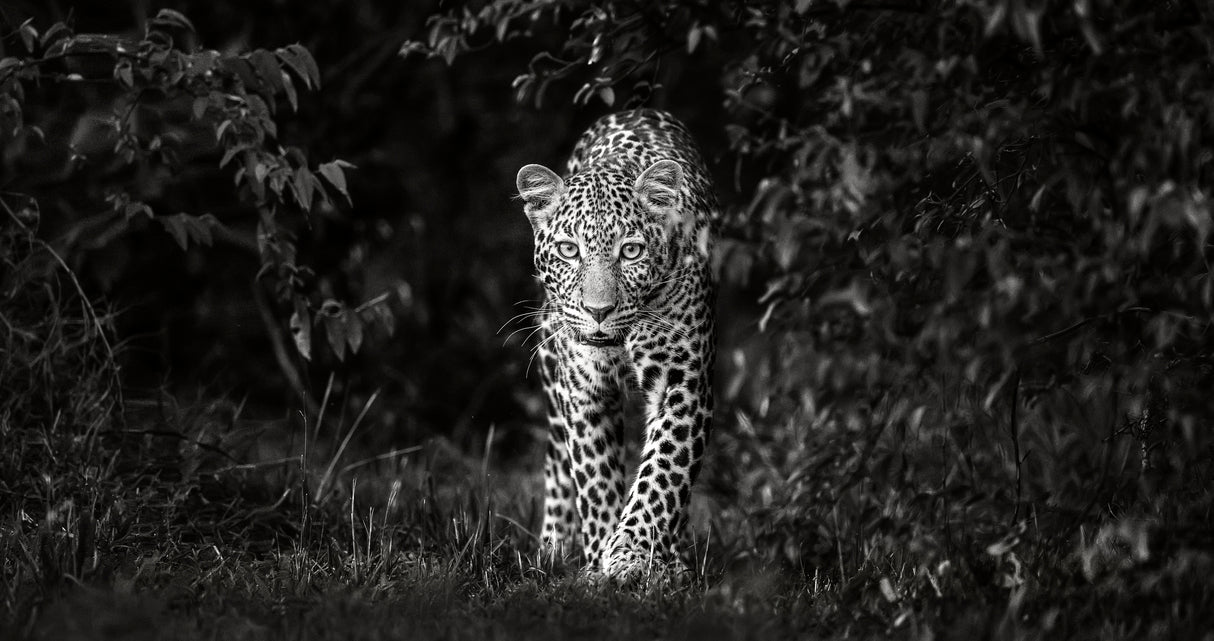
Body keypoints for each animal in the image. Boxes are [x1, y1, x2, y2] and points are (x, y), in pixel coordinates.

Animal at [514, 109, 716, 579]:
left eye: (632, 252)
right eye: (569, 250)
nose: (598, 310)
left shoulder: (683, 382)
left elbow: (664, 472)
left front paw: (630, 556)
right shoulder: (584, 391)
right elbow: (595, 479)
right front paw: (599, 562)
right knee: (556, 461)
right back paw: (552, 548)